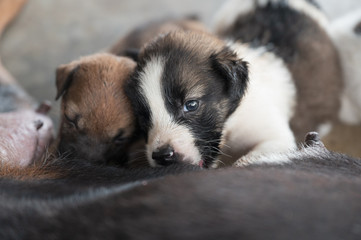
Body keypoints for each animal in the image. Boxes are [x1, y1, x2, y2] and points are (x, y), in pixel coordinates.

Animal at [125, 0, 342, 168]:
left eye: (191, 105)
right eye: (144, 116)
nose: (162, 156)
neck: (232, 122)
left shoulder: (277, 138)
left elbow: (244, 162)